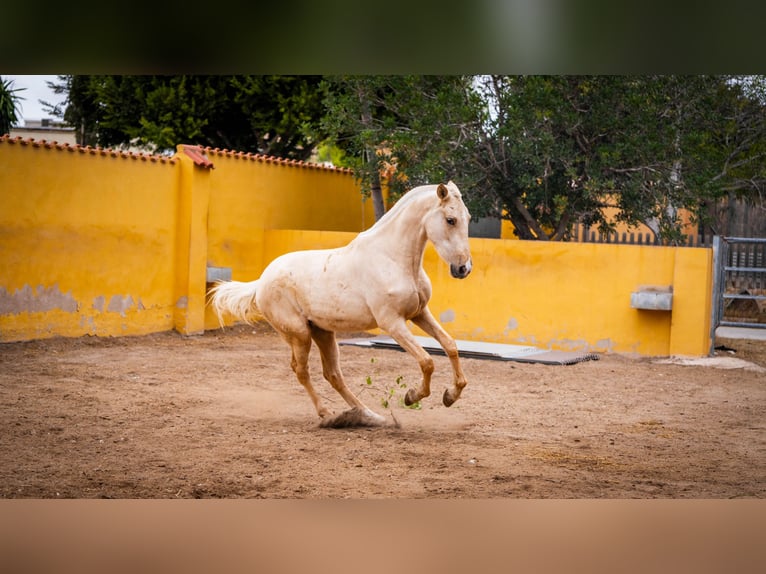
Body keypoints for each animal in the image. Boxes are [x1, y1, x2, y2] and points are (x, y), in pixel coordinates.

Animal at [212, 181, 474, 428]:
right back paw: (327, 414)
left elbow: (450, 346)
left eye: (468, 218)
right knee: (301, 370)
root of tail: (261, 281)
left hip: (323, 333)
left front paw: (450, 396)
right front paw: (411, 396)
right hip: (299, 334)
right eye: (450, 220)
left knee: (333, 375)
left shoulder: (419, 313)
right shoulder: (392, 323)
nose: (463, 268)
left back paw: (369, 415)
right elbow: (427, 361)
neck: (392, 258)